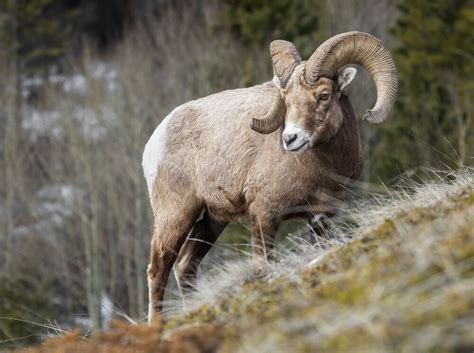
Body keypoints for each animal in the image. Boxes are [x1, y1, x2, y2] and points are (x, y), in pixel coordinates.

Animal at [143, 31, 398, 320]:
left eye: (323, 95)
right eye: (286, 101)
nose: (291, 138)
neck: (321, 169)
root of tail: (156, 141)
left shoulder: (320, 216)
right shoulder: (265, 216)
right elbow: (261, 265)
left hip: (212, 220)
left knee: (185, 265)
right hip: (176, 216)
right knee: (159, 268)